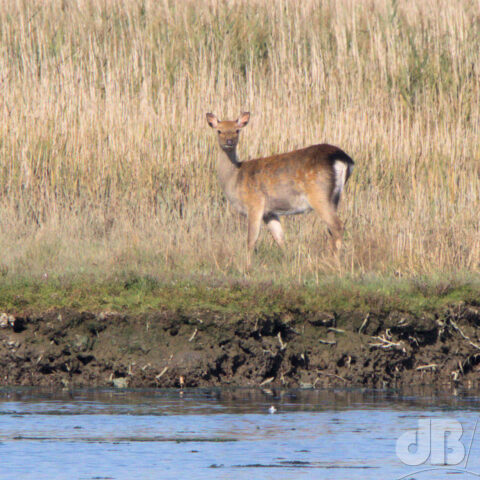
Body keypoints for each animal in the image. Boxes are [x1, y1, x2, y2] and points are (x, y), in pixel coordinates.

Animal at [204, 112, 354, 266]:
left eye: (237, 130)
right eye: (219, 130)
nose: (229, 141)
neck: (234, 179)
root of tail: (343, 158)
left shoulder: (255, 203)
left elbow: (251, 239)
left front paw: (247, 265)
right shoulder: (269, 212)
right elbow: (280, 238)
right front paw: (288, 261)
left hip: (319, 194)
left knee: (337, 225)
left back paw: (334, 262)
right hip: (334, 197)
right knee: (331, 228)